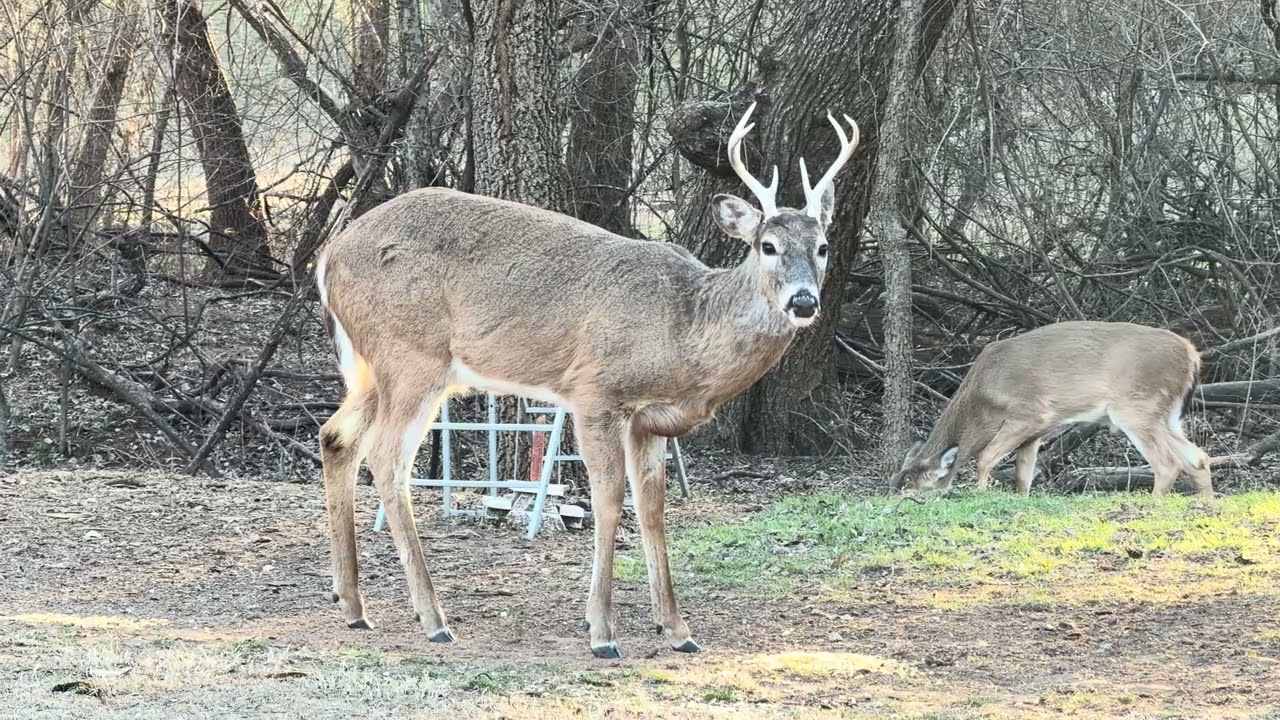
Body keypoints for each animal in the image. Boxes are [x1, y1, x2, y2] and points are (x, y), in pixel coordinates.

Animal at [313, 102, 859, 659]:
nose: (803, 301)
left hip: (372, 369)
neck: (683, 328)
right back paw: (434, 619)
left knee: (335, 437)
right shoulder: (596, 392)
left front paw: (677, 629)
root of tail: (327, 255)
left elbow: (652, 509)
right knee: (386, 457)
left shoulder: (649, 420)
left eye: (823, 246)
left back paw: (353, 605)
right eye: (767, 245)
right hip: (412, 356)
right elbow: (609, 501)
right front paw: (602, 633)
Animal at [890, 321, 1214, 498]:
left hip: (1136, 407)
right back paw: (1207, 504)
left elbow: (984, 458)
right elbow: (1023, 474)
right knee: (1199, 457)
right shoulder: (1035, 432)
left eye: (911, 487)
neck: (982, 401)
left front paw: (980, 494)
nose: (893, 498)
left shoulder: (1029, 414)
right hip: (1166, 414)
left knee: (1168, 463)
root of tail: (1192, 355)